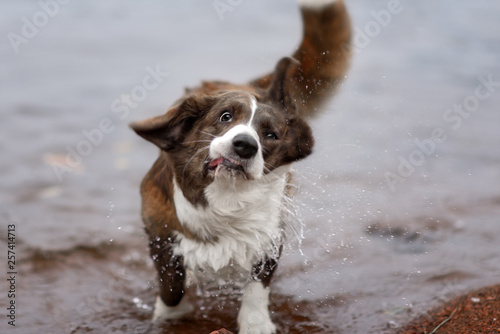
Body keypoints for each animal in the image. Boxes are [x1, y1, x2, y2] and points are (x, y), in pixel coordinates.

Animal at [133, 1, 352, 332]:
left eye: (270, 135)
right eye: (225, 117)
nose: (245, 145)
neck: (226, 201)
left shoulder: (270, 240)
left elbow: (257, 287)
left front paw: (256, 323)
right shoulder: (160, 236)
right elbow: (171, 288)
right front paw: (169, 317)